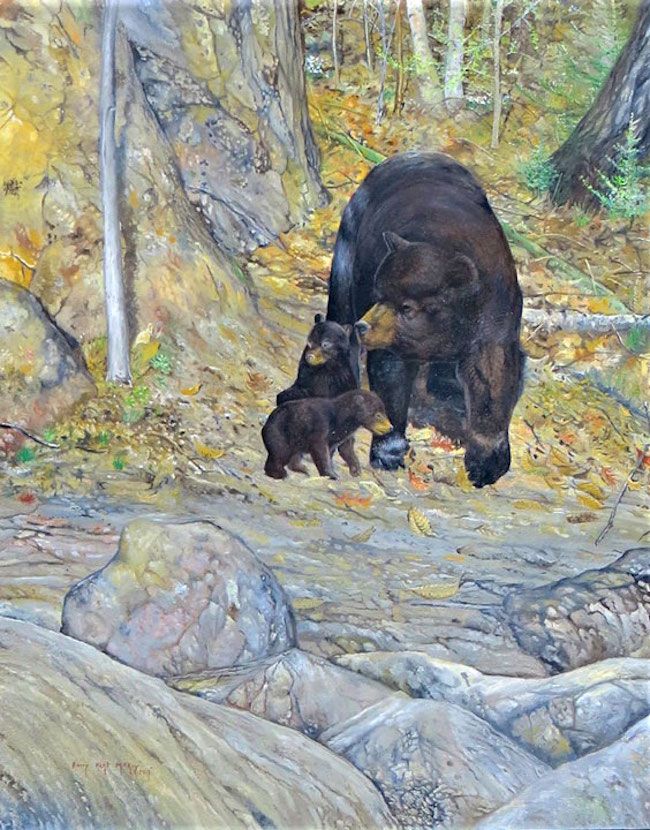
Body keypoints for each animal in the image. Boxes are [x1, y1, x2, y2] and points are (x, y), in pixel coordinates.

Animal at [262, 390, 392, 480]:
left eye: (385, 412)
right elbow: (320, 450)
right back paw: (280, 473)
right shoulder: (321, 425)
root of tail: (267, 421)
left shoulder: (343, 436)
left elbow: (345, 449)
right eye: (378, 415)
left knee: (295, 455)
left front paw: (355, 470)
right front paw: (332, 475)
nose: (390, 427)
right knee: (279, 453)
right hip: (280, 432)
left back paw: (302, 468)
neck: (340, 419)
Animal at [326, 151, 525, 488]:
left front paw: (486, 460)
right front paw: (389, 450)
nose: (365, 326)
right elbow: (391, 372)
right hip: (348, 244)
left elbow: (492, 377)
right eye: (378, 291)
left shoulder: (494, 321)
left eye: (407, 307)